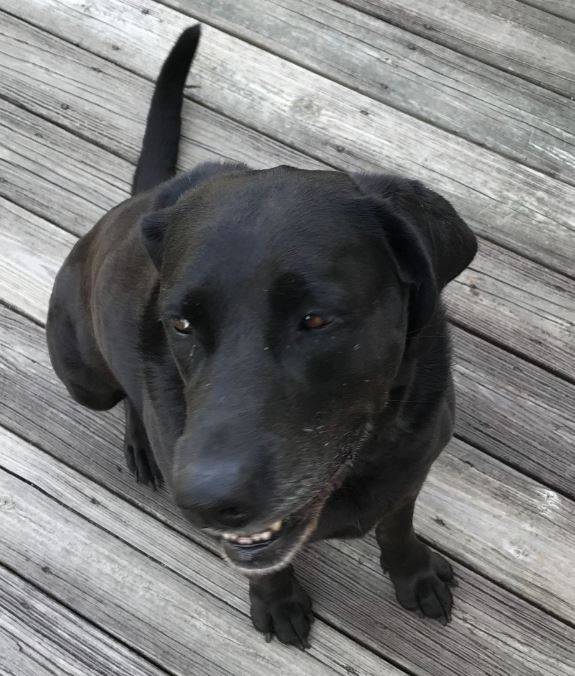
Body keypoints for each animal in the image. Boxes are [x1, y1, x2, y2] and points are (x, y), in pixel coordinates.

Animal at [46, 27, 476, 648]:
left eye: (316, 320)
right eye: (181, 324)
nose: (205, 503)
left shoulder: (411, 470)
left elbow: (396, 527)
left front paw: (413, 574)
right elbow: (269, 566)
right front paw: (277, 601)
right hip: (86, 377)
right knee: (124, 395)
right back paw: (141, 445)